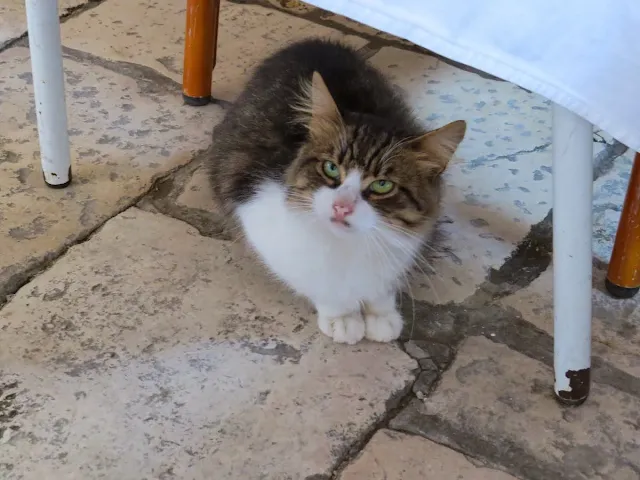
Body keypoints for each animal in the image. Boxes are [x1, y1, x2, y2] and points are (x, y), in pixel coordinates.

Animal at [210, 38, 464, 344]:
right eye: (331, 168)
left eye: (382, 185)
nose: (341, 206)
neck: (349, 246)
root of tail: (312, 42)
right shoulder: (257, 210)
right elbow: (318, 281)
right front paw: (342, 316)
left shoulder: (407, 242)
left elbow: (383, 283)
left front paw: (380, 313)